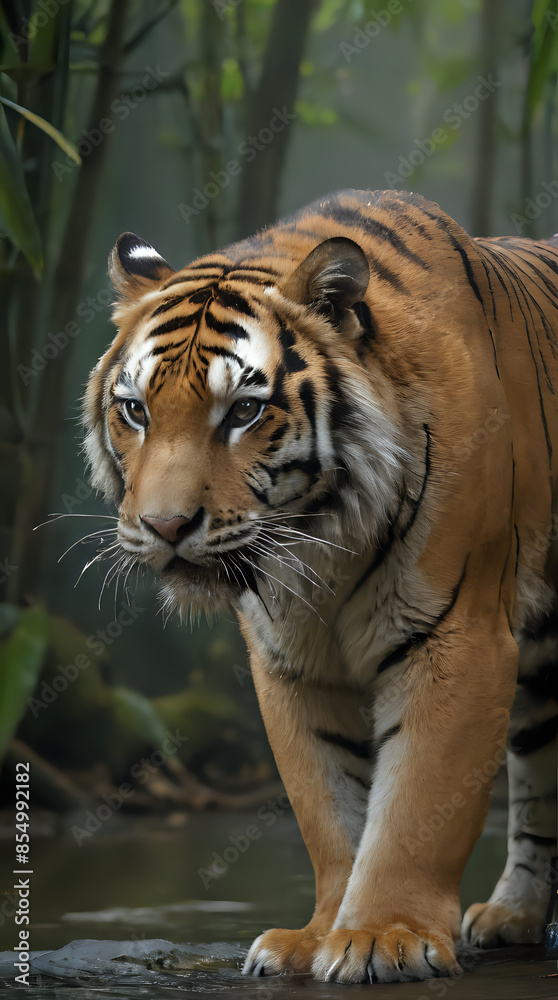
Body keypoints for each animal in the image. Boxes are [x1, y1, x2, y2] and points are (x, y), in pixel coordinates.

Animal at [84, 189, 558, 984]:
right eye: (136, 411)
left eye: (244, 411)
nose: (165, 525)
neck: (319, 541)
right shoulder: (290, 660)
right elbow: (330, 805)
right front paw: (316, 937)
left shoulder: (458, 638)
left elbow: (416, 804)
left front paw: (385, 936)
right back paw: (514, 917)